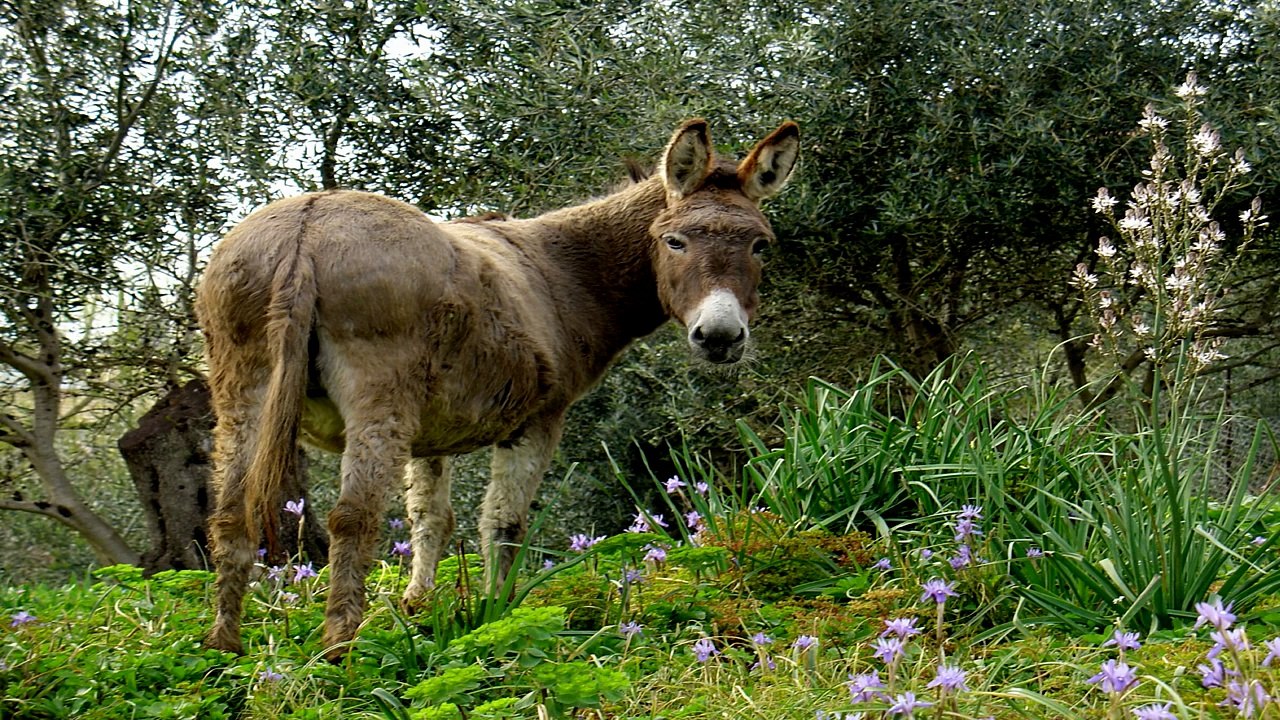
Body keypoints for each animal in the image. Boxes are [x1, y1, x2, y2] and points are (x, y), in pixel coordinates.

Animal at [197, 118, 799, 659]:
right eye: (674, 241)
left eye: (760, 246)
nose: (720, 337)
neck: (565, 273)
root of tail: (308, 226)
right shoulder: (539, 420)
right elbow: (504, 523)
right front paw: (498, 615)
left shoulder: (427, 437)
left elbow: (431, 517)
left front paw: (420, 609)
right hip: (377, 391)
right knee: (353, 517)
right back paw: (339, 651)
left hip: (240, 388)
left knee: (228, 512)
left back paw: (224, 650)